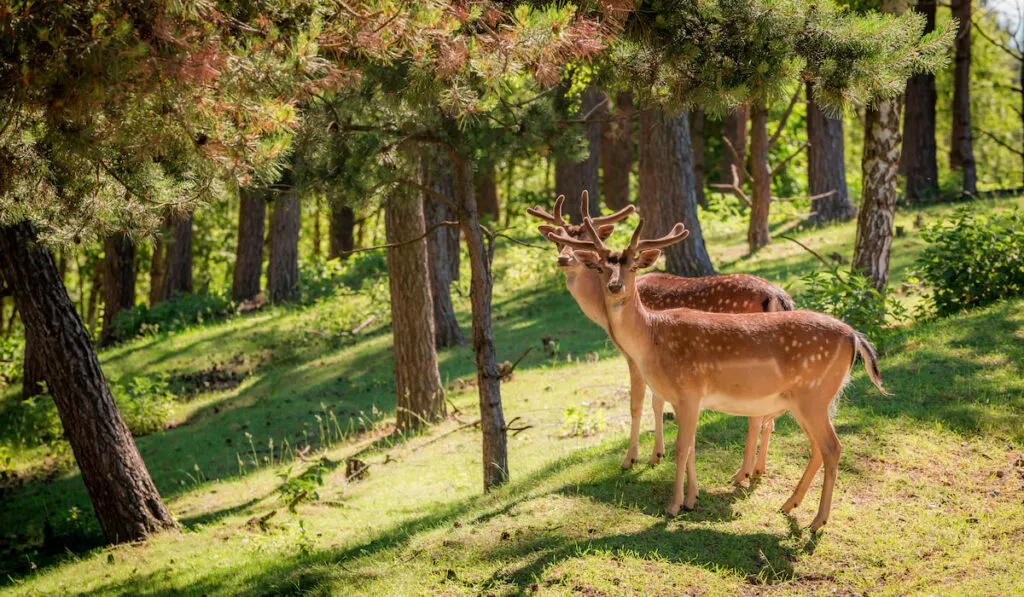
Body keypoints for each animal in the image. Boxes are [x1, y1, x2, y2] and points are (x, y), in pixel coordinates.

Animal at [528, 193, 790, 483]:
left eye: (583, 236)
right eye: (557, 240)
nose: (565, 259)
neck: (603, 316)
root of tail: (779, 297)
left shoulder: (634, 355)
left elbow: (638, 403)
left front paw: (631, 459)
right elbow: (658, 401)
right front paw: (656, 455)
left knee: (758, 414)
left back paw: (741, 473)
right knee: (769, 416)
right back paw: (758, 469)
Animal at [548, 216, 892, 532]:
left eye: (632, 266)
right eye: (602, 268)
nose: (615, 287)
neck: (652, 338)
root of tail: (854, 336)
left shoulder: (688, 392)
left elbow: (680, 447)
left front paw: (672, 505)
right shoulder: (684, 399)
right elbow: (690, 446)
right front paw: (691, 499)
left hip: (813, 395)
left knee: (832, 447)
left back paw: (816, 521)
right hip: (811, 400)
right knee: (818, 447)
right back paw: (789, 504)